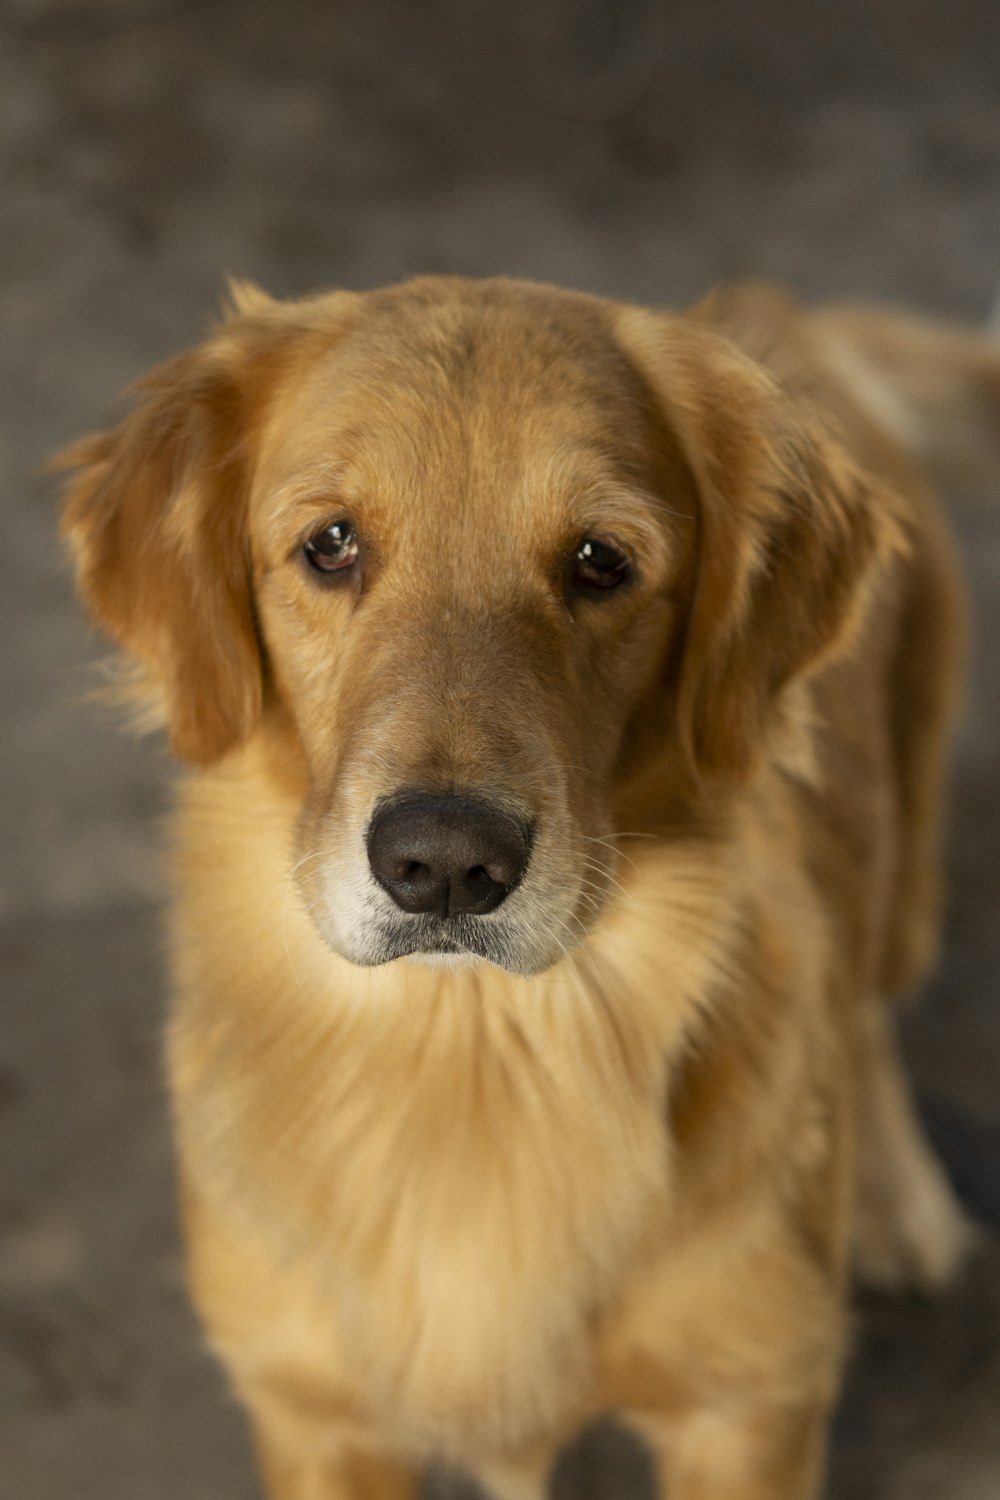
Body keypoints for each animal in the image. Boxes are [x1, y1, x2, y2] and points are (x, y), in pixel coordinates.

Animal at [58, 282, 995, 1500]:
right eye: (330, 545)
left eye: (600, 559)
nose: (447, 862)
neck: (473, 1057)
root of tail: (780, 312)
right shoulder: (315, 1413)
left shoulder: (747, 1408)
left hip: (908, 838)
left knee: (868, 1004)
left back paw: (893, 1193)